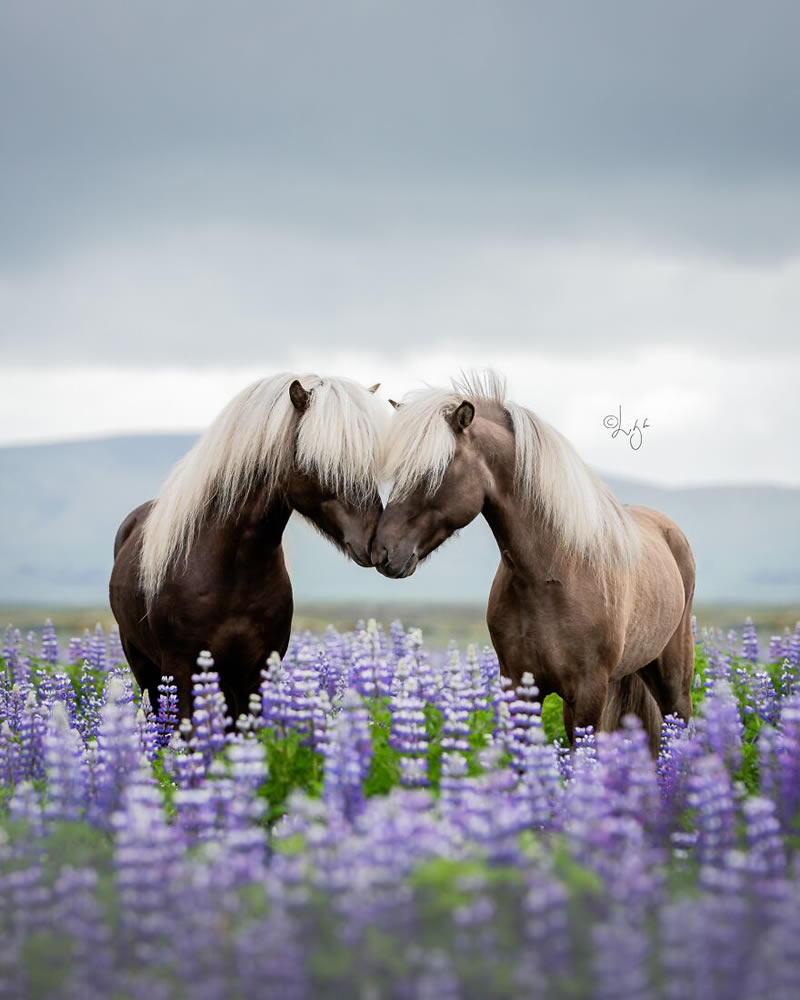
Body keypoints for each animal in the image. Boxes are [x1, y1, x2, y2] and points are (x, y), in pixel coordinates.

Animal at [376, 374, 692, 752]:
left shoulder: (589, 693)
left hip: (672, 679)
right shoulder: (518, 686)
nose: (382, 551)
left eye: (434, 470)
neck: (551, 575)